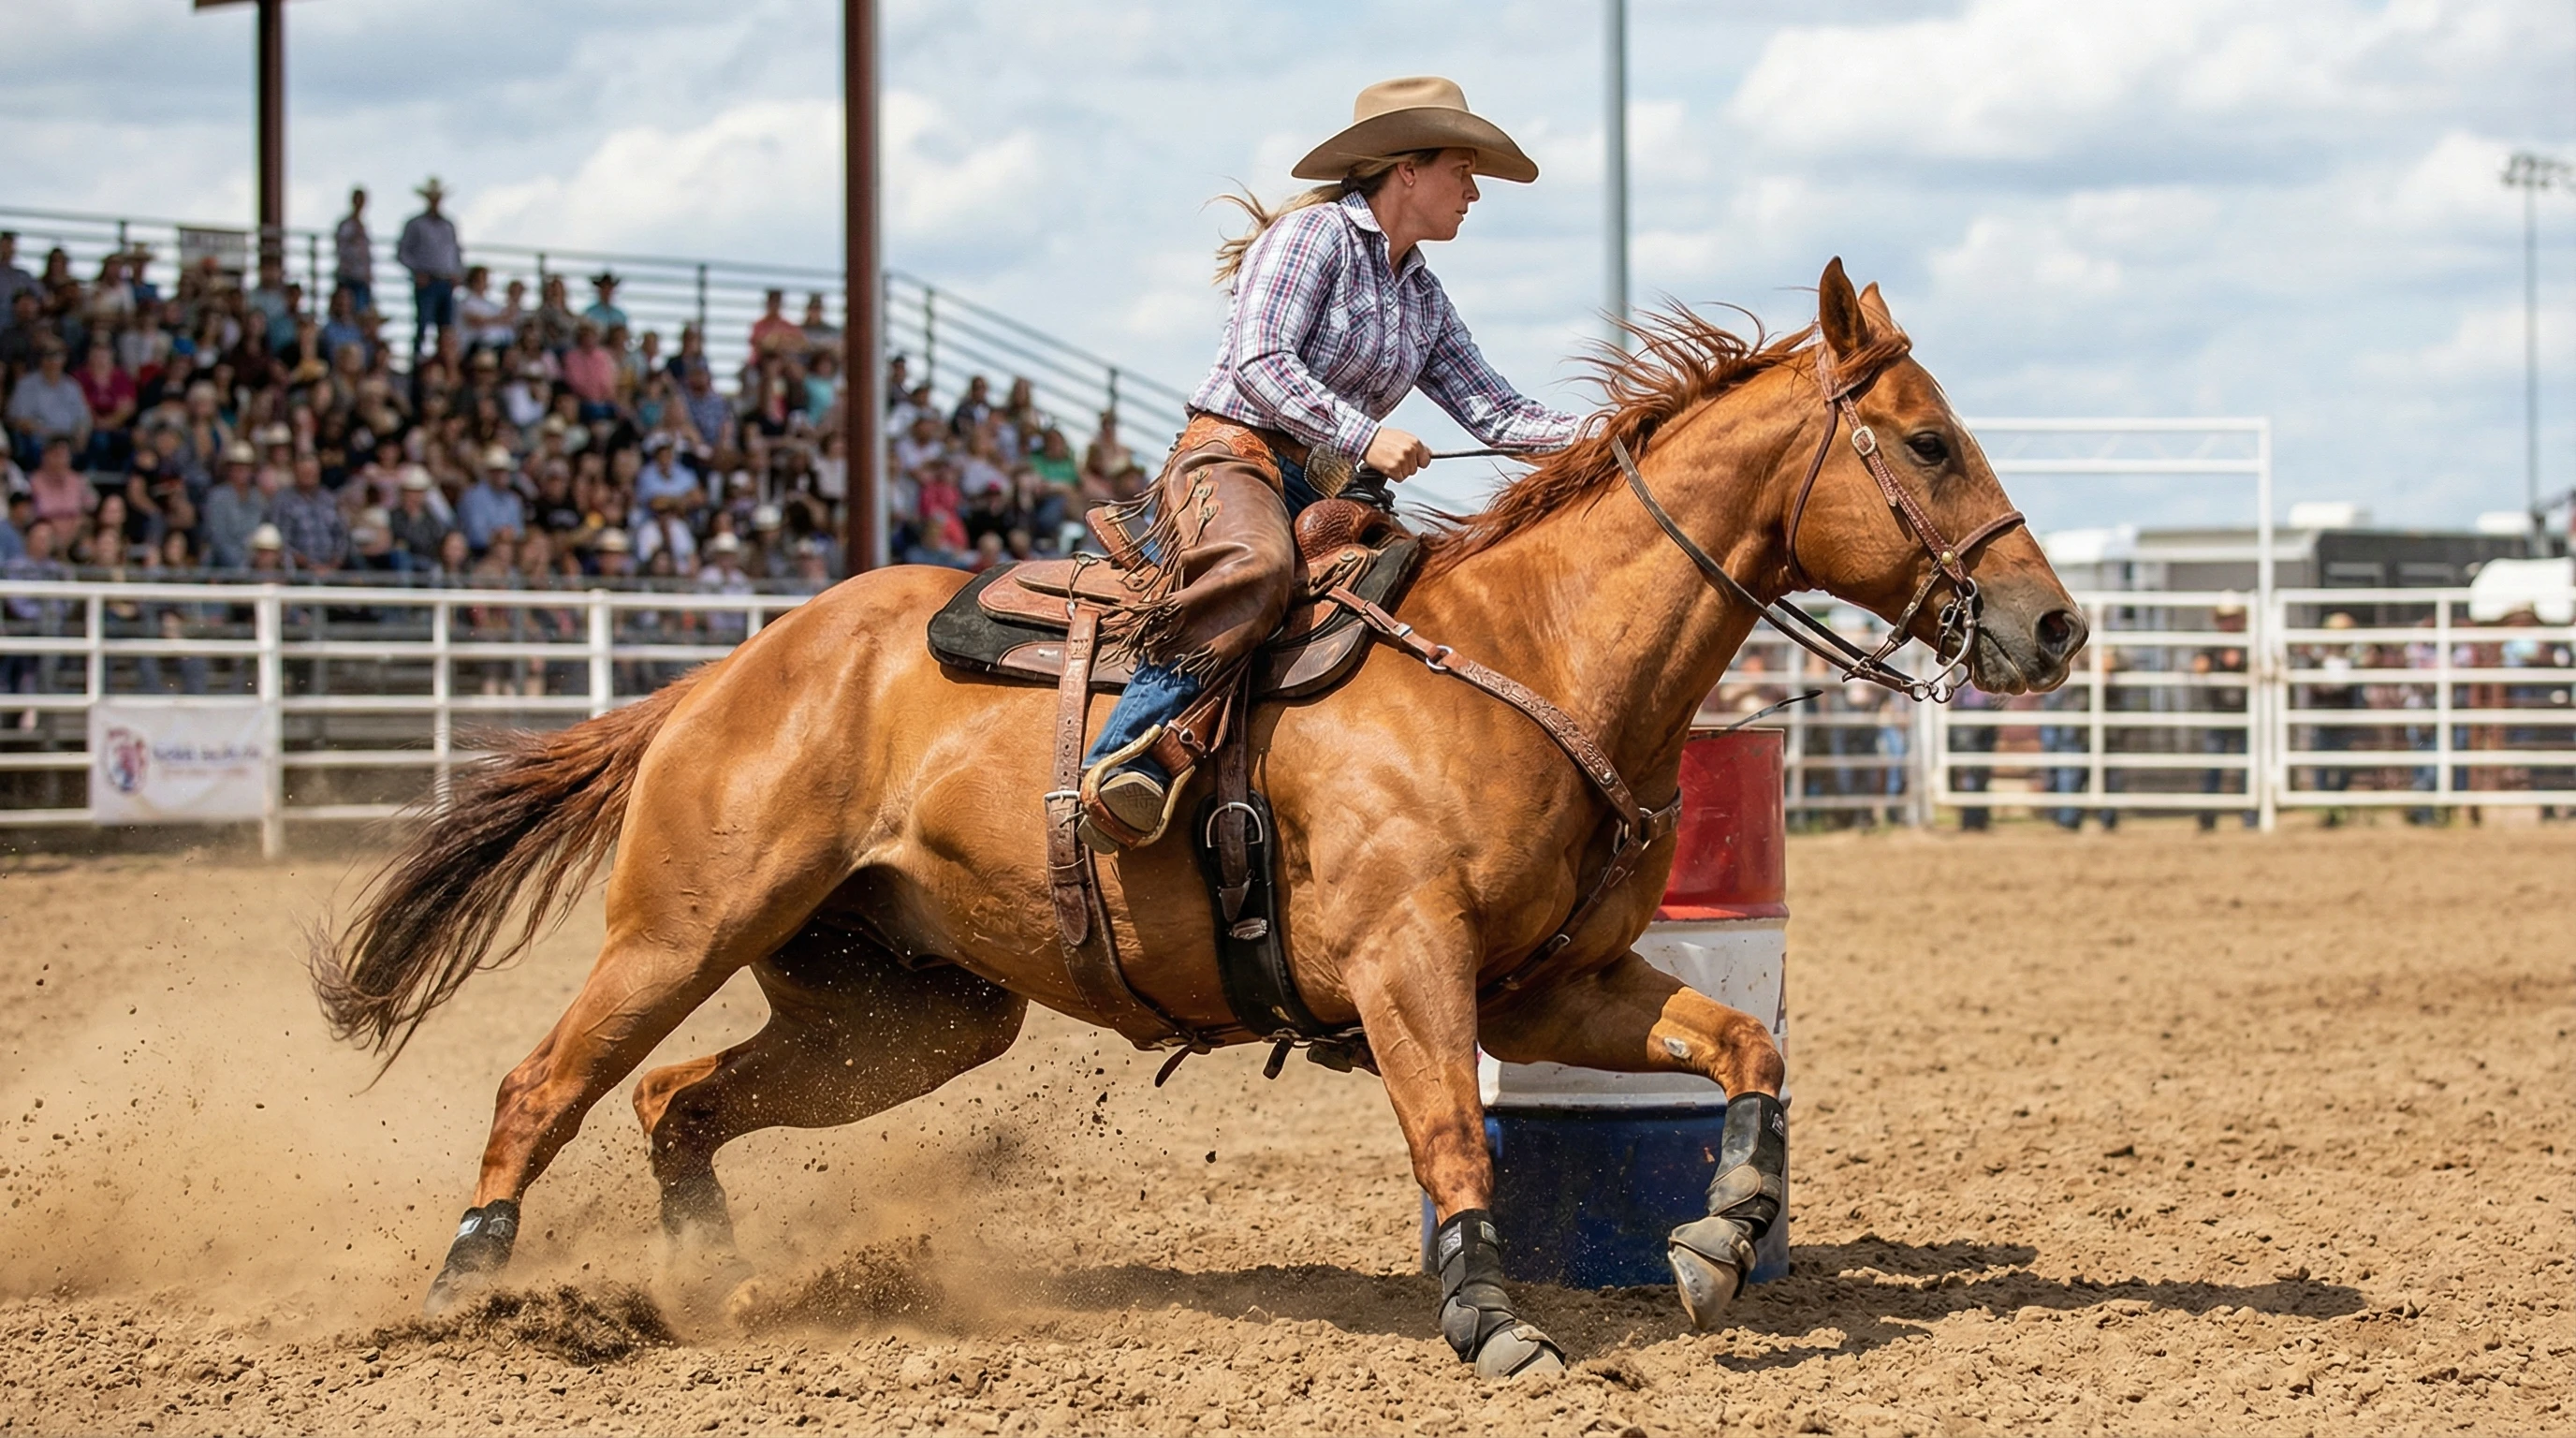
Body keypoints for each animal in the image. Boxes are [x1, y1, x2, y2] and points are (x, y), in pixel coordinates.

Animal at [312, 260, 2083, 1377]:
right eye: (1928, 440)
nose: (2056, 627)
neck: (1525, 657)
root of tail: (725, 674)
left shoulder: (1546, 986)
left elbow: (1743, 1047)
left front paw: (1720, 1239)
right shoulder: (1409, 969)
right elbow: (1452, 1138)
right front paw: (1495, 1323)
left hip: (908, 1014)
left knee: (676, 1101)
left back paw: (703, 1281)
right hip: (684, 922)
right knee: (546, 1080)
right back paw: (468, 1294)